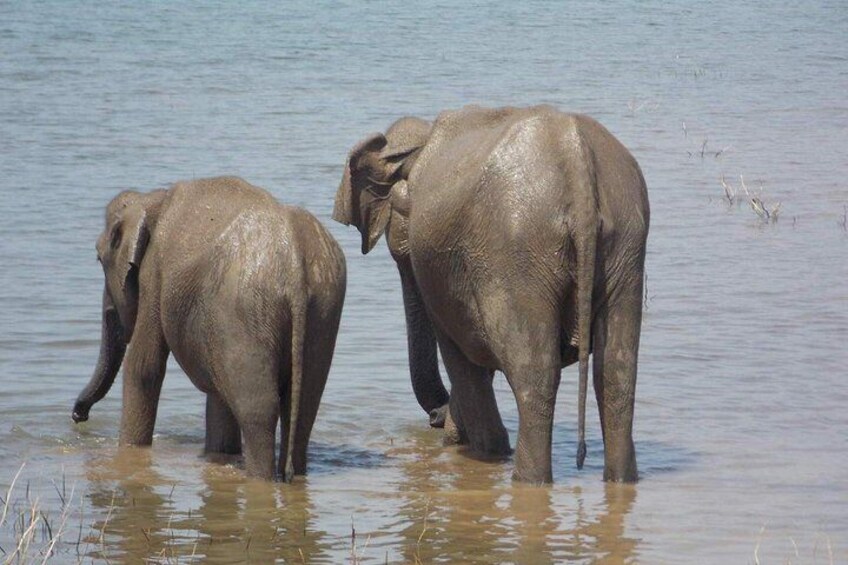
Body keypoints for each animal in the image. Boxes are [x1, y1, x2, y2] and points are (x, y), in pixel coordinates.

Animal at [72, 176, 344, 480]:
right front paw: (220, 455)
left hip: (244, 311)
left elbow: (143, 368)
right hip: (323, 307)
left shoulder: (154, 273)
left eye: (99, 259)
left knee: (258, 412)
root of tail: (295, 262)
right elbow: (217, 391)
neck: (152, 199)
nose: (78, 416)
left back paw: (260, 478)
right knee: (305, 405)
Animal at [332, 103, 648, 482]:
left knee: (533, 371)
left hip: (519, 253)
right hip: (625, 244)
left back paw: (526, 479)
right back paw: (620, 479)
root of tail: (577, 164)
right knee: (616, 368)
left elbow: (459, 351)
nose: (436, 418)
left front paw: (478, 447)